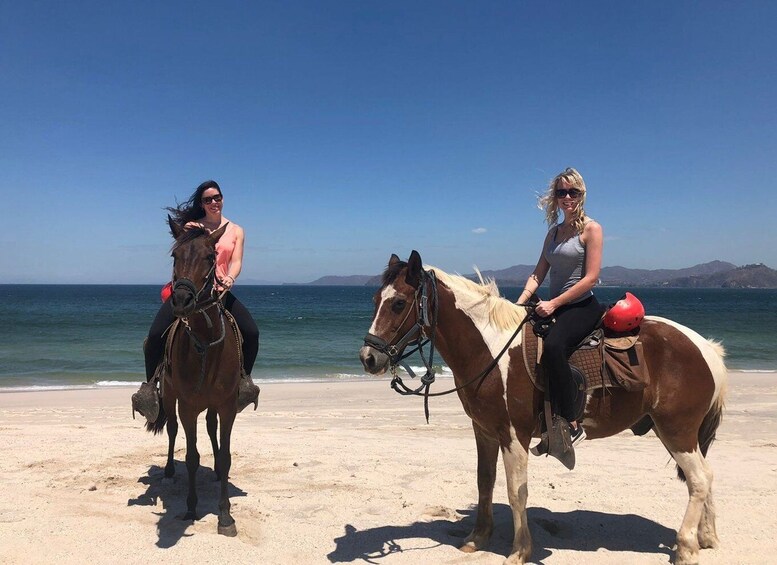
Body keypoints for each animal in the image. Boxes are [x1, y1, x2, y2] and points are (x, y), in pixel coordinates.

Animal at [146, 218, 242, 536]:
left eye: (211, 257)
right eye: (175, 256)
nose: (181, 300)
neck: (206, 344)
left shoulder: (227, 405)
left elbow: (225, 455)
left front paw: (225, 516)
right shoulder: (187, 406)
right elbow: (191, 456)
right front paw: (190, 507)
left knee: (211, 428)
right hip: (170, 396)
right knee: (172, 429)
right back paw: (168, 471)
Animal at [360, 252, 728, 564]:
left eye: (398, 303)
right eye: (376, 300)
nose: (368, 358)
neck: (490, 349)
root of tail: (706, 348)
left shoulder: (514, 435)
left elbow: (516, 491)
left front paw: (519, 550)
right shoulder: (484, 430)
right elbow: (484, 481)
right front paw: (478, 537)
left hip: (676, 430)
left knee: (699, 479)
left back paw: (685, 547)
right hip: (676, 432)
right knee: (706, 475)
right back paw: (706, 537)